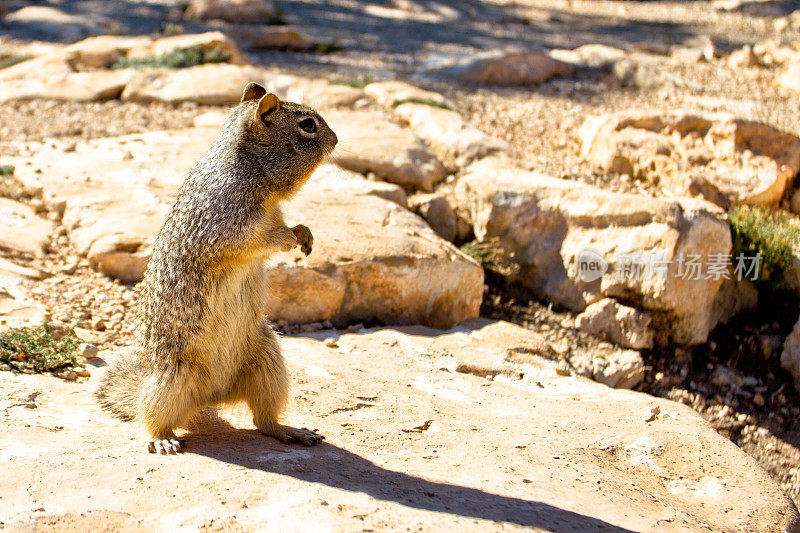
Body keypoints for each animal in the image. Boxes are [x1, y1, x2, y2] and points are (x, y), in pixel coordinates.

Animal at [94, 81, 338, 450]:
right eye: (308, 125)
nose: (336, 139)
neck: (252, 172)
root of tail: (213, 395)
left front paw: (303, 233)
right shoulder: (225, 218)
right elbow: (248, 240)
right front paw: (286, 239)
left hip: (269, 362)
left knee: (263, 419)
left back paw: (291, 430)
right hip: (171, 380)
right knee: (151, 415)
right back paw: (162, 439)